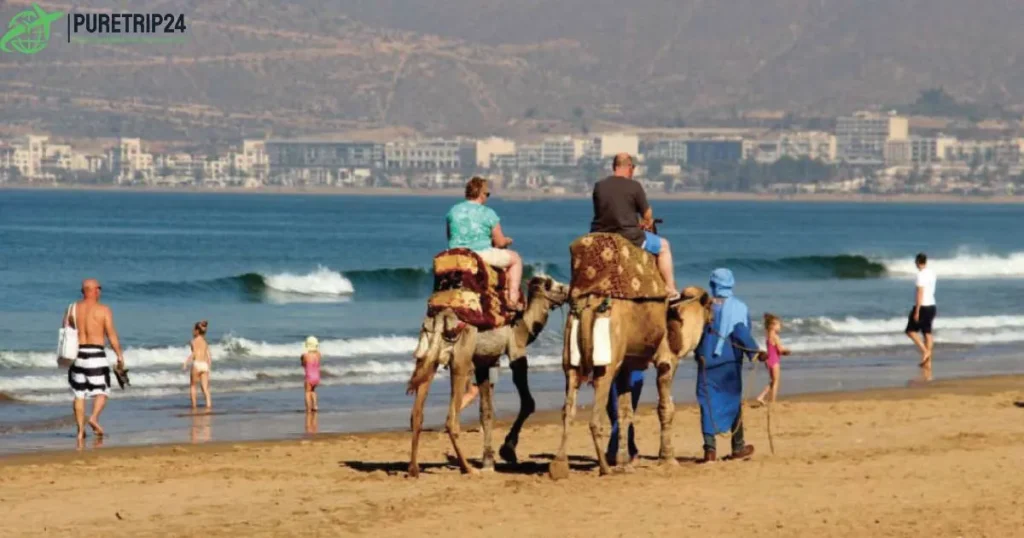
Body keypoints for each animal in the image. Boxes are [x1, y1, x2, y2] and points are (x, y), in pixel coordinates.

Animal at [405, 274, 569, 475]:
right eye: (553, 285)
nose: (568, 290)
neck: (522, 325)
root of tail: (441, 317)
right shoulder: (516, 352)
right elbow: (528, 403)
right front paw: (507, 450)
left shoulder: (483, 363)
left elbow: (486, 411)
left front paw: (489, 460)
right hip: (460, 360)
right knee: (451, 420)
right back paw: (467, 468)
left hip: (428, 355)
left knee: (417, 414)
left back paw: (414, 469)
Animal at [548, 284, 708, 477]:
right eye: (710, 304)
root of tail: (587, 306)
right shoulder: (667, 361)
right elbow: (666, 408)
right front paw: (668, 459)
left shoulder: (626, 367)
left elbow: (625, 412)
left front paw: (624, 462)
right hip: (607, 363)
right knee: (595, 416)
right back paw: (605, 468)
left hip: (570, 360)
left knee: (568, 410)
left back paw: (559, 465)